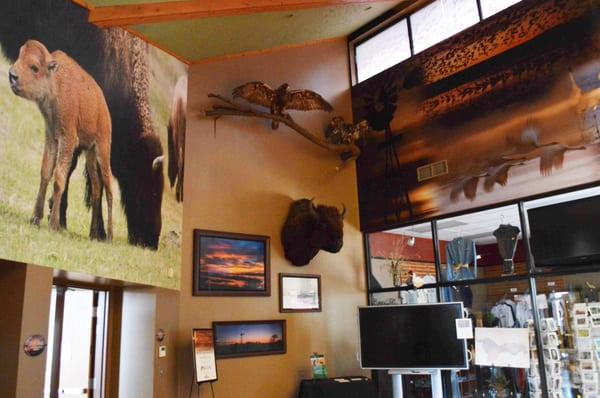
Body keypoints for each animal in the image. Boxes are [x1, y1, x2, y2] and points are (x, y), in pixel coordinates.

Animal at [9, 39, 113, 239]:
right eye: (19, 56)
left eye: (34, 67)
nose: (12, 75)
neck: (55, 84)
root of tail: (104, 108)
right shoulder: (51, 138)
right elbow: (45, 172)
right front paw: (35, 218)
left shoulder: (67, 140)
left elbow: (59, 178)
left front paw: (54, 224)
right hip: (89, 154)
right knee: (97, 188)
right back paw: (93, 233)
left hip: (102, 151)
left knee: (109, 188)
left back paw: (109, 236)